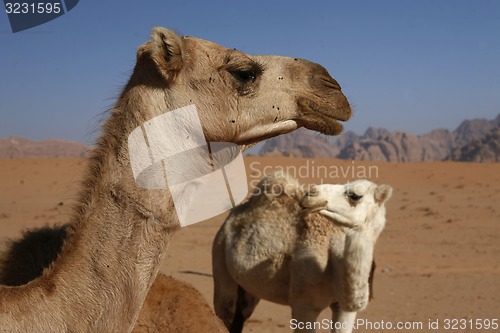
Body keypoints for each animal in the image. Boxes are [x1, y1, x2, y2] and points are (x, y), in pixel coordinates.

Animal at [211, 172, 390, 330]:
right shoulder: (304, 306)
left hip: (249, 287)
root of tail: (231, 217)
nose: (311, 193)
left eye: (354, 195)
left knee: (241, 314)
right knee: (226, 311)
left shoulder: (344, 309)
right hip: (219, 254)